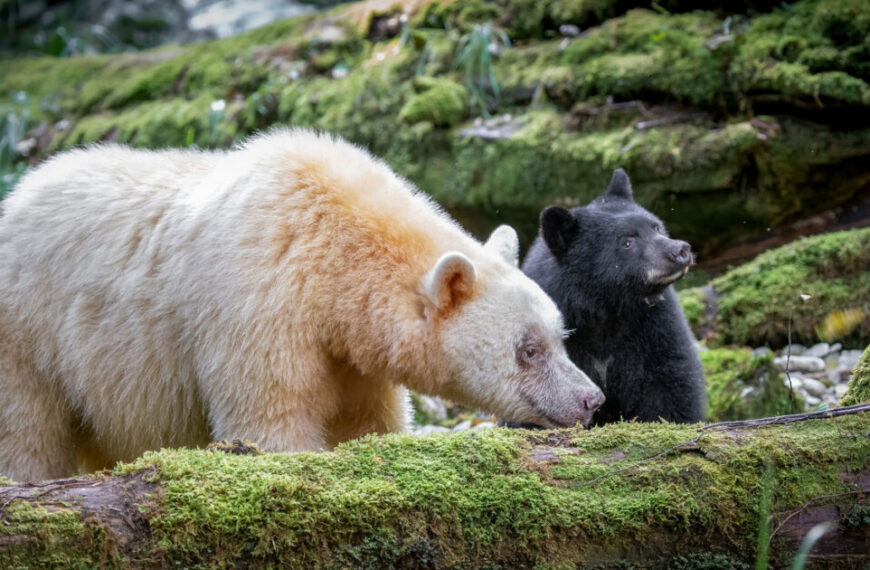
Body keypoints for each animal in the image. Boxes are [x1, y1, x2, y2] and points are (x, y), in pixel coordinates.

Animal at [0, 129, 604, 481]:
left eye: (561, 336)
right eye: (528, 349)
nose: (591, 399)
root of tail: (20, 193)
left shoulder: (353, 353)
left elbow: (367, 419)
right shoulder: (258, 301)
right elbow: (271, 415)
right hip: (30, 327)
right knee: (26, 423)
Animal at [517, 168, 705, 425]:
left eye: (656, 227)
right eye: (627, 242)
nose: (680, 250)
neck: (604, 309)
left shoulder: (655, 323)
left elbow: (669, 381)